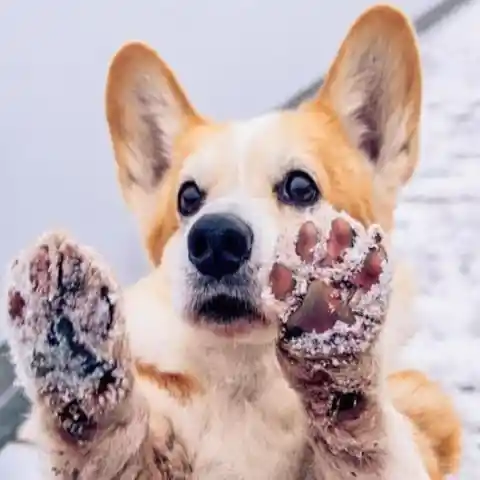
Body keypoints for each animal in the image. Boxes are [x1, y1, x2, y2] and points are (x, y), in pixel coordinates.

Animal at [4, 4, 462, 480]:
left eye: (301, 187)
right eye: (188, 197)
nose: (216, 239)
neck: (246, 380)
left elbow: (369, 438)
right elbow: (116, 449)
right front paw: (73, 343)